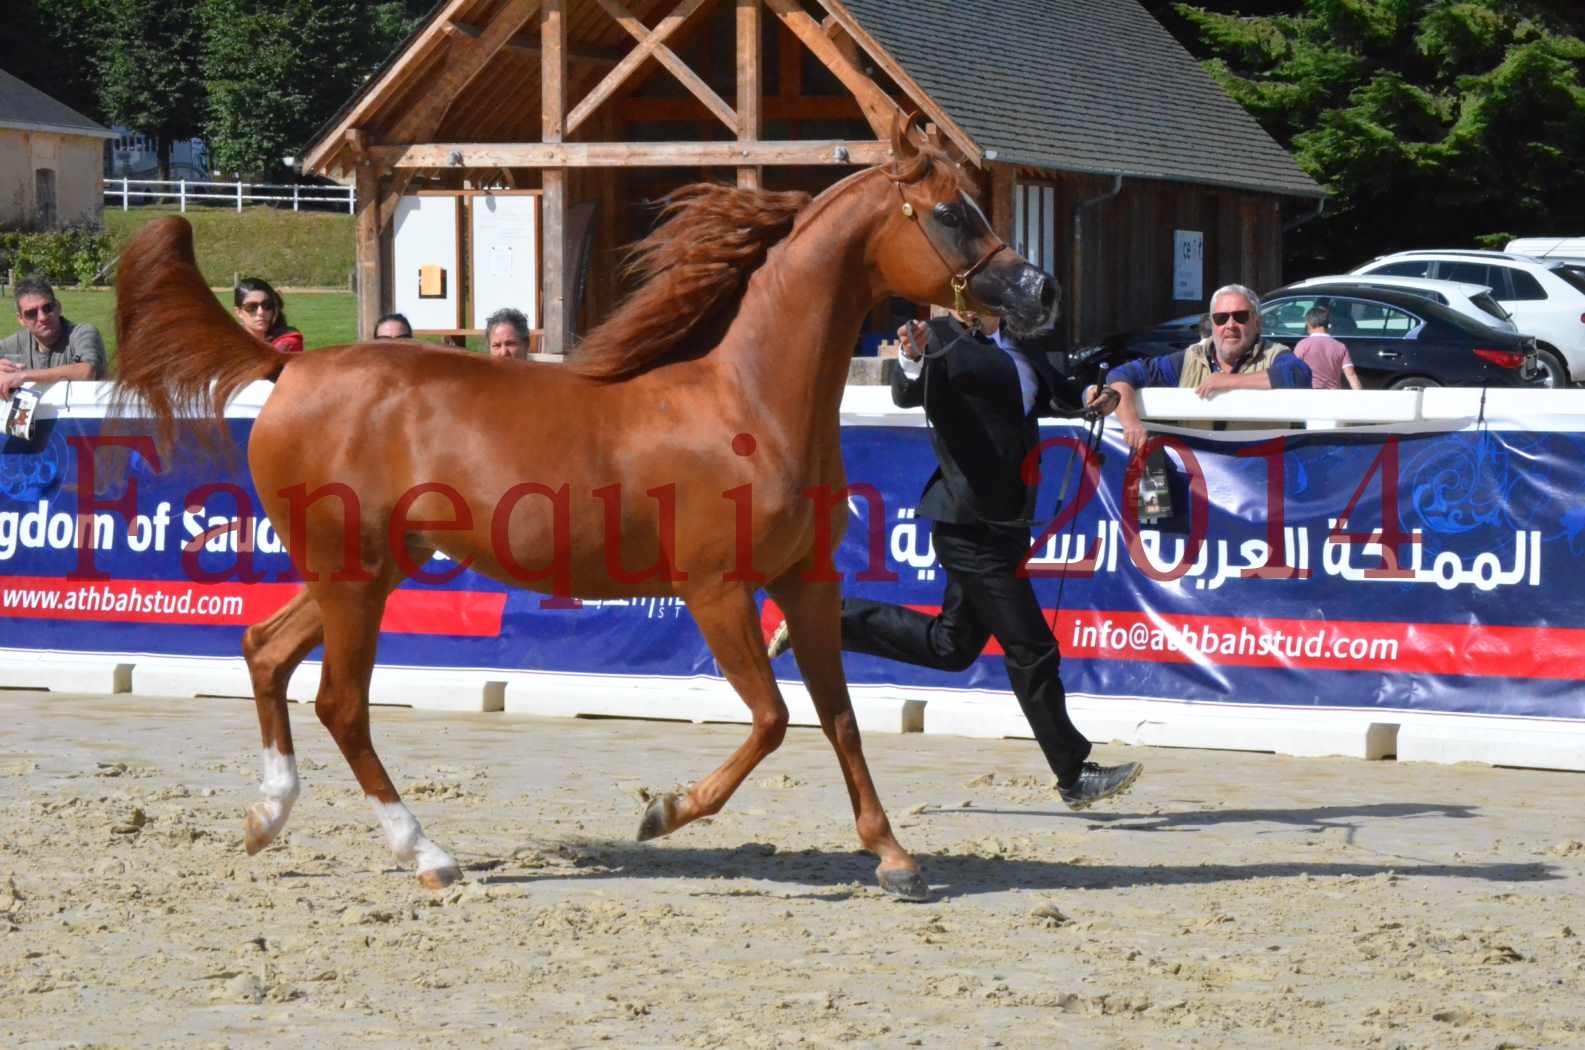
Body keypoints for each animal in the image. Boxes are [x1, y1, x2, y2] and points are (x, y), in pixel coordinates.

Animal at [111, 117, 1052, 907]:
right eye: (948, 213)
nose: (1037, 292)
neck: (752, 403)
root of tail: (289, 367)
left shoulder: (806, 584)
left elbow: (841, 718)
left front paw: (892, 856)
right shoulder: (717, 592)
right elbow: (773, 720)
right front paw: (664, 811)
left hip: (370, 571)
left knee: (264, 650)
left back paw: (267, 819)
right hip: (353, 577)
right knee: (340, 703)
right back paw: (427, 856)